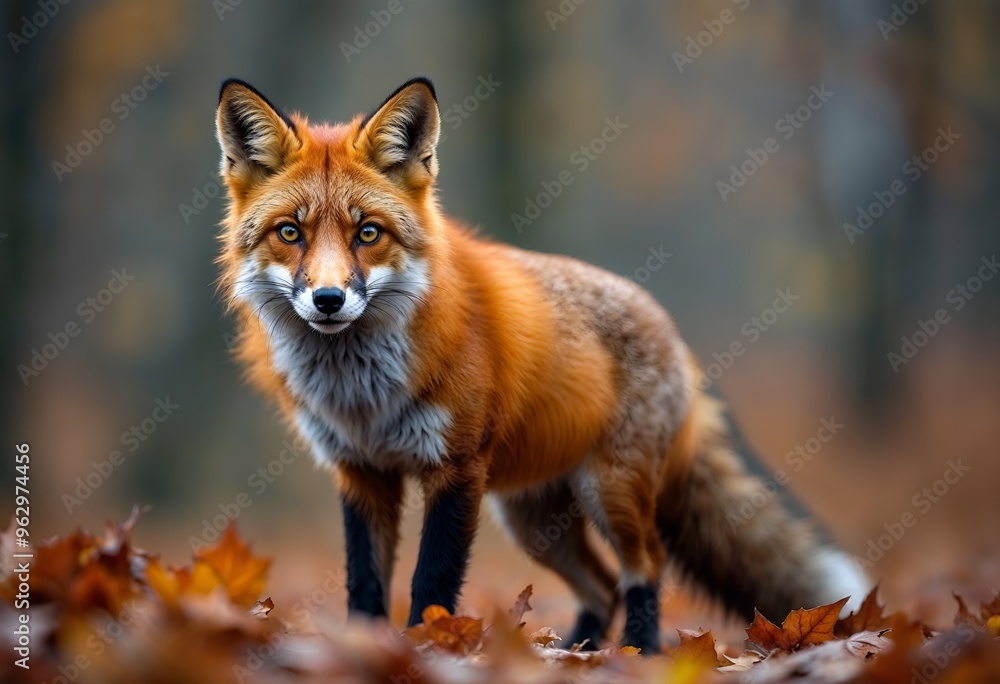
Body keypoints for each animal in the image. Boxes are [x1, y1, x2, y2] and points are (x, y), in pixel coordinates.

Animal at [214, 76, 868, 653]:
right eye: (290, 233)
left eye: (368, 233)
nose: (328, 300)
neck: (359, 395)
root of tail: (672, 331)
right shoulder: (360, 472)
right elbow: (365, 582)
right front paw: (363, 648)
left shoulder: (455, 469)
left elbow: (432, 581)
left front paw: (427, 649)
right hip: (534, 523)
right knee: (602, 587)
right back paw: (575, 652)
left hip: (612, 493)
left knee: (644, 569)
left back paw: (638, 653)